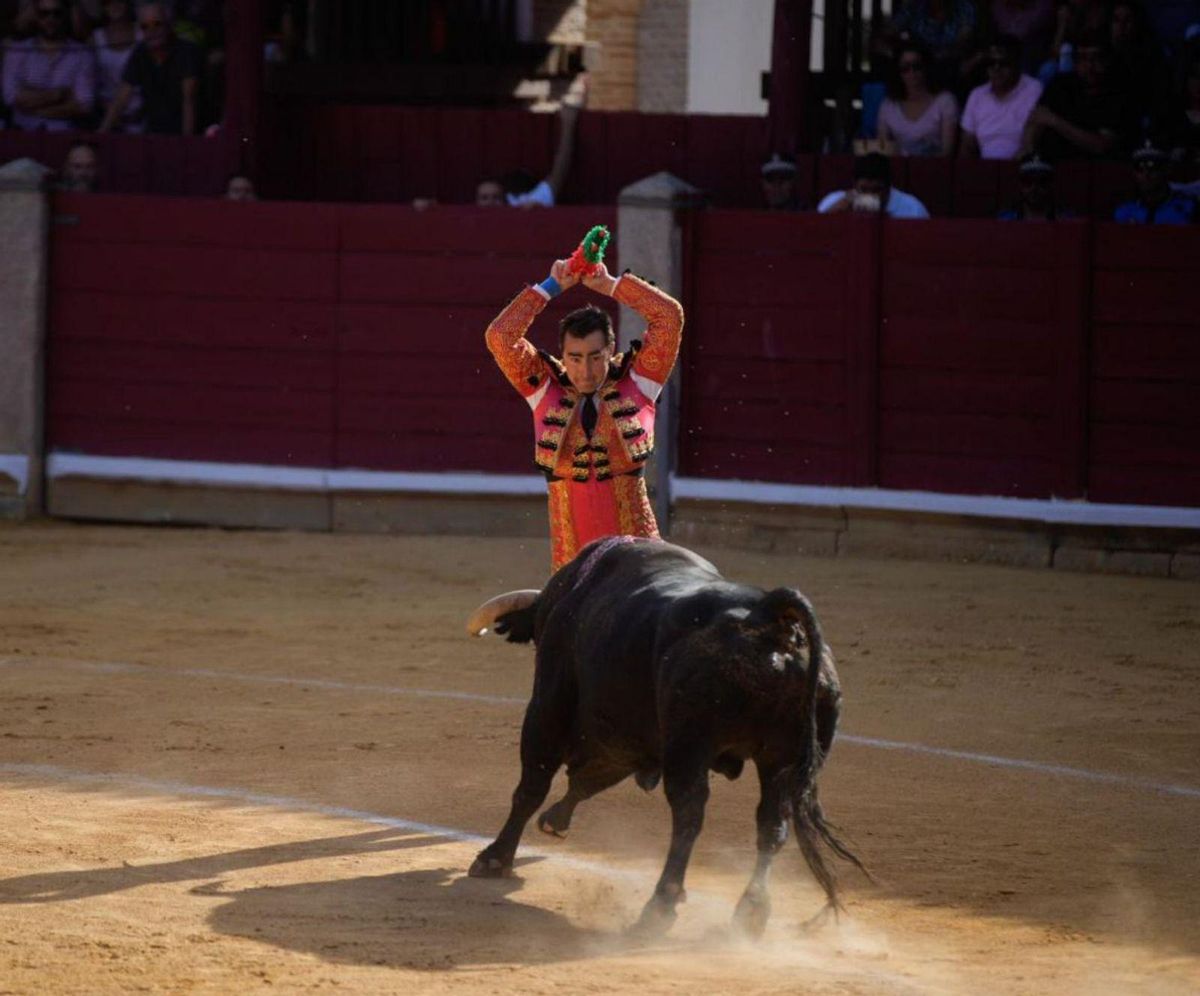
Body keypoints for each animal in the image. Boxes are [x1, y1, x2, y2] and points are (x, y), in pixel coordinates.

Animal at [463, 537, 868, 936]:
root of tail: (768, 616)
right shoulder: (625, 736)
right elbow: (587, 780)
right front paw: (554, 820)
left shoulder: (550, 703)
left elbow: (533, 785)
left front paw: (495, 858)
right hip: (781, 759)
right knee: (772, 823)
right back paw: (751, 913)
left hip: (689, 745)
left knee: (689, 813)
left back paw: (660, 906)